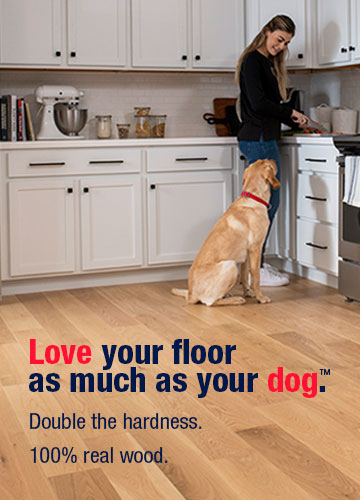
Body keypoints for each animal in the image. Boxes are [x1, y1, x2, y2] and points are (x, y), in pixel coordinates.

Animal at [171, 159, 278, 304]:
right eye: (267, 161)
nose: (273, 159)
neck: (253, 197)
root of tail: (191, 294)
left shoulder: (246, 255)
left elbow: (245, 276)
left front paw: (248, 292)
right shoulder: (256, 248)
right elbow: (256, 277)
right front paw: (260, 297)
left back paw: (228, 295)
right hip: (230, 265)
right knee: (210, 302)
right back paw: (236, 299)